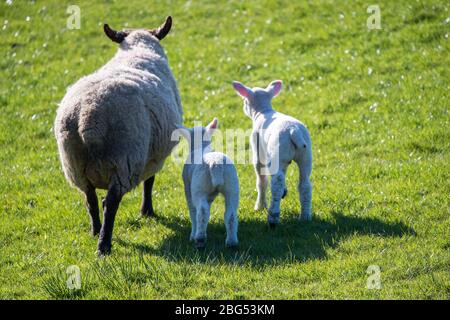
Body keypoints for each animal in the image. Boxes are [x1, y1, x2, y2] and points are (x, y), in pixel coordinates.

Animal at [54, 16, 183, 255]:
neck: (138, 50)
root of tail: (88, 119)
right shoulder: (151, 157)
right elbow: (149, 182)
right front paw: (147, 211)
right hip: (124, 161)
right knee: (110, 203)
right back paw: (104, 245)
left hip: (75, 166)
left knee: (90, 200)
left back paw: (95, 231)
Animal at [178, 119, 239, 249]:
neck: (201, 146)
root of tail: (215, 164)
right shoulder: (209, 195)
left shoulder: (188, 188)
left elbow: (193, 212)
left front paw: (192, 235)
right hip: (232, 186)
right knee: (230, 214)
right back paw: (231, 242)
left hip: (199, 187)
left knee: (202, 211)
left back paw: (199, 238)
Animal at [232, 79, 312, 225]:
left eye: (245, 101)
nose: (244, 107)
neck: (263, 111)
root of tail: (294, 131)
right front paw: (285, 192)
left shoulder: (258, 152)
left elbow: (261, 181)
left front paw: (260, 206)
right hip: (305, 155)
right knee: (305, 184)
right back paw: (305, 217)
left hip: (278, 154)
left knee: (276, 183)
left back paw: (273, 216)